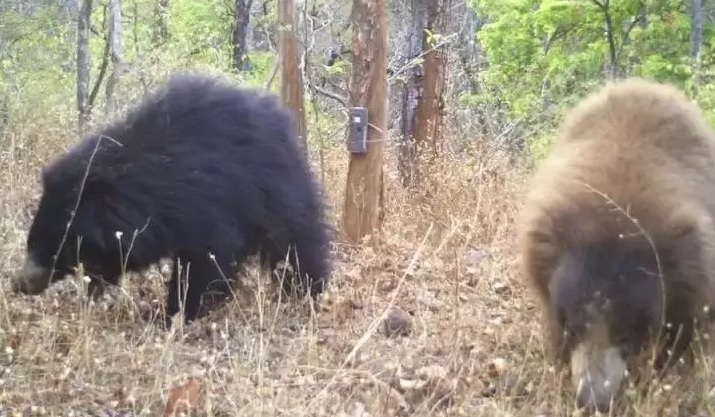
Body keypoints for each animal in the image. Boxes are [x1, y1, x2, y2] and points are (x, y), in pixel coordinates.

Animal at [12, 72, 334, 324]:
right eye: (33, 239)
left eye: (57, 245)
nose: (20, 283)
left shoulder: (207, 203)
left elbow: (205, 261)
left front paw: (175, 313)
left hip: (277, 191)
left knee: (296, 242)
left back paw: (306, 291)